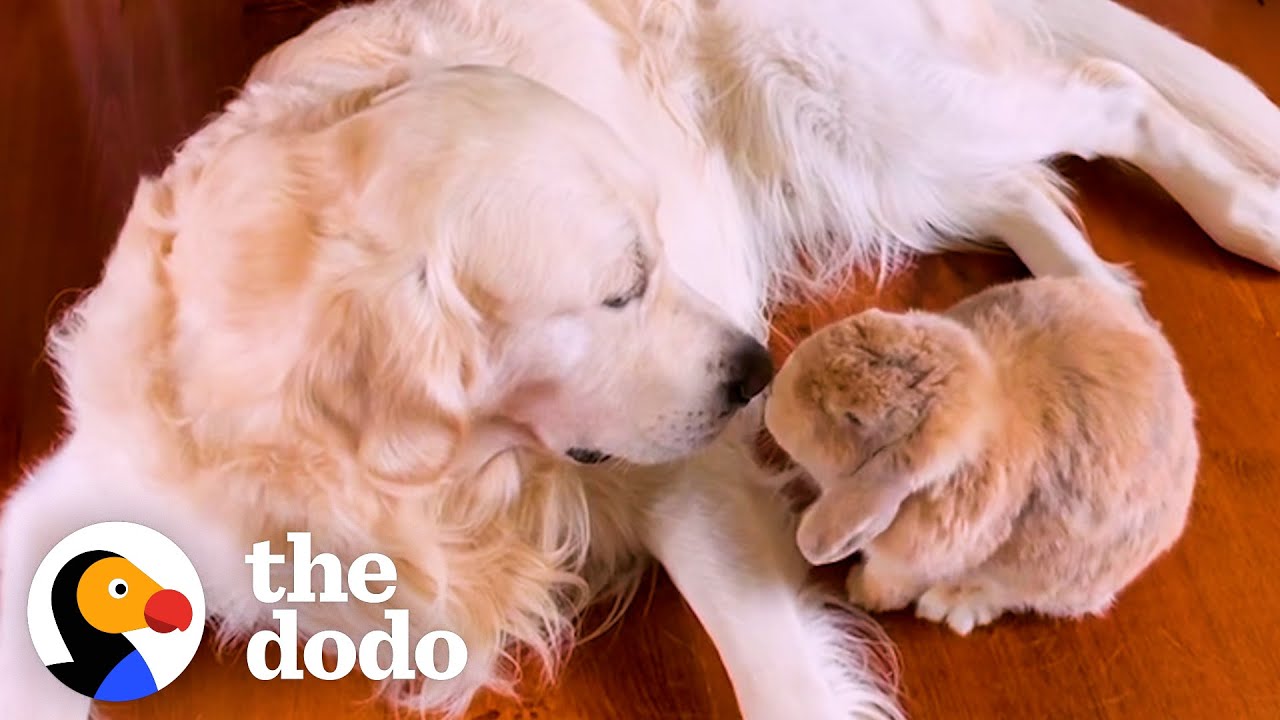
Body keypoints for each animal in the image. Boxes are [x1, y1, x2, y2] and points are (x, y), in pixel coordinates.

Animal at [768, 278, 1198, 630]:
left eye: (853, 417)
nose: (771, 397)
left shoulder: (912, 562)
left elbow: (889, 583)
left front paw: (860, 591)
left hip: (1049, 579)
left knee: (1005, 595)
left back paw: (948, 606)